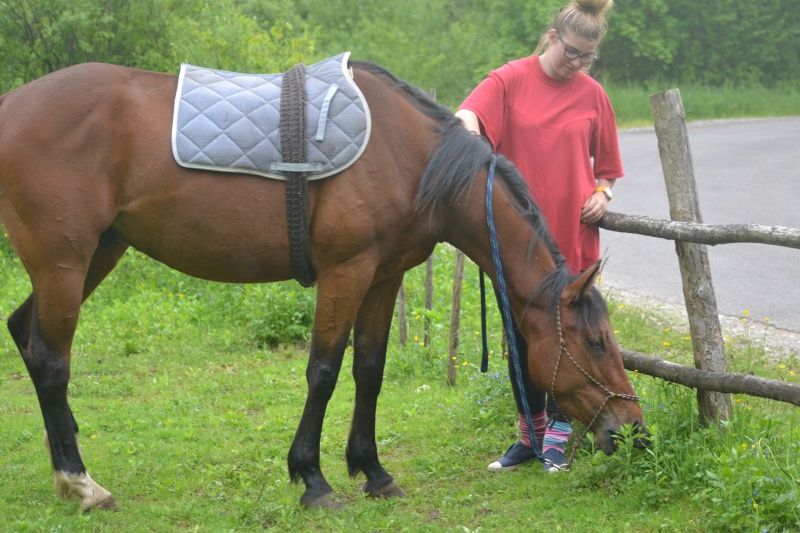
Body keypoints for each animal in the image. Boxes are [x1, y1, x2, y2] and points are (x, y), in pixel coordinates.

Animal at [0, 57, 640, 508]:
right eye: (595, 343)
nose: (633, 432)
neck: (411, 158)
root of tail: (11, 105)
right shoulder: (345, 272)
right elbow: (324, 371)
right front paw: (312, 477)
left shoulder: (383, 278)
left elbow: (369, 370)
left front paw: (373, 471)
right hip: (63, 262)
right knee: (51, 360)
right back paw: (82, 484)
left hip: (96, 256)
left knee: (24, 332)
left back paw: (66, 458)